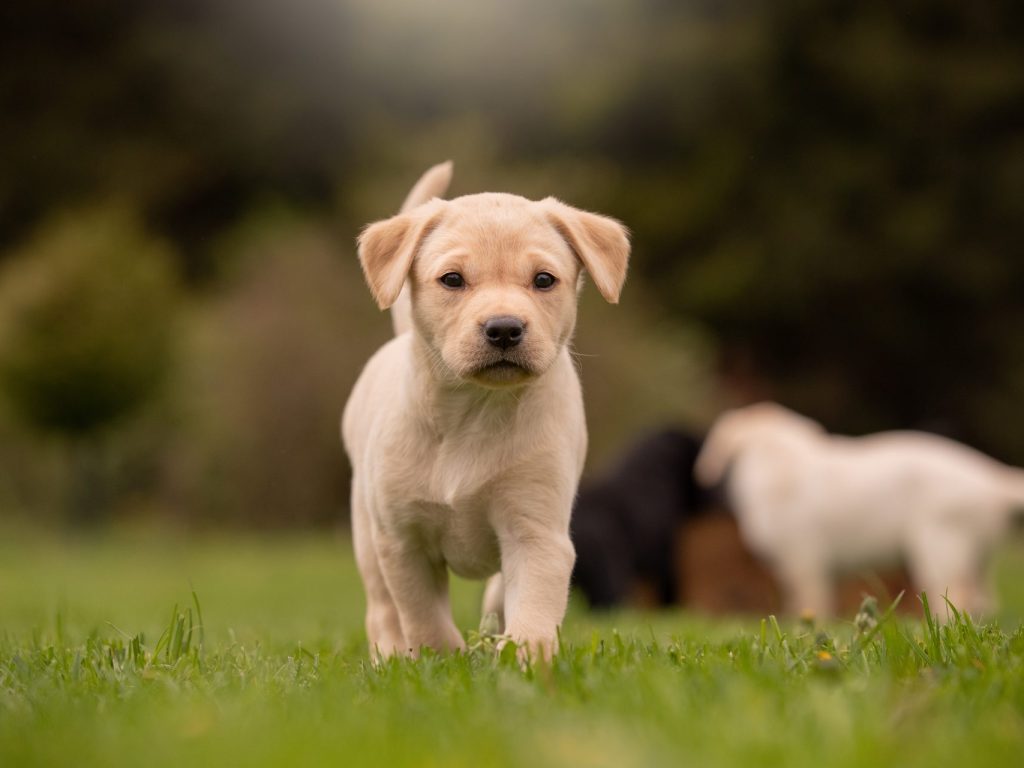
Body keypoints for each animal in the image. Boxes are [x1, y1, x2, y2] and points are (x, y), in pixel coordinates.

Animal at [344, 162, 626, 663]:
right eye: (452, 280)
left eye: (544, 280)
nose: (505, 329)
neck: (475, 412)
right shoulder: (403, 541)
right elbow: (423, 617)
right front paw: (441, 661)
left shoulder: (536, 531)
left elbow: (533, 611)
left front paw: (525, 661)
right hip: (367, 528)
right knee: (382, 610)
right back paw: (389, 656)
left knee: (495, 597)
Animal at [696, 405, 1024, 622]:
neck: (779, 462)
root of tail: (993, 480)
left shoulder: (804, 562)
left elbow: (810, 604)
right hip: (976, 558)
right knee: (983, 601)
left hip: (941, 547)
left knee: (956, 596)